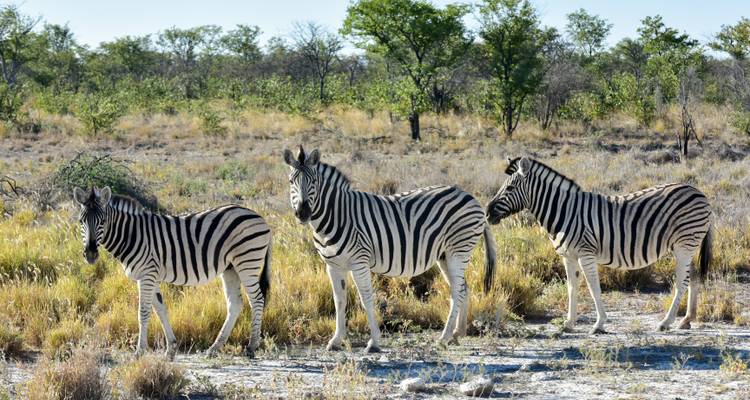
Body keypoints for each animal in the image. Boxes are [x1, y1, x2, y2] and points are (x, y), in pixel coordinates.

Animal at [73, 187, 271, 358]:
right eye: (81, 221)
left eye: (102, 221)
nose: (90, 254)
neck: (132, 235)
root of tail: (259, 217)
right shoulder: (149, 276)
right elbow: (160, 309)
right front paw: (171, 349)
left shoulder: (147, 275)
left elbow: (143, 311)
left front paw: (139, 352)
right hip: (231, 268)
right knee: (235, 304)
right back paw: (214, 348)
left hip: (247, 262)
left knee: (257, 300)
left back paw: (252, 347)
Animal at [284, 146, 496, 352]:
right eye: (291, 181)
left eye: (314, 181)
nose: (303, 213)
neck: (337, 216)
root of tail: (471, 197)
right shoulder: (333, 265)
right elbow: (339, 300)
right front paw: (336, 340)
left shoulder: (359, 262)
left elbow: (366, 299)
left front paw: (374, 342)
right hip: (445, 255)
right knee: (462, 288)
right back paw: (456, 334)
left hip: (458, 250)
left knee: (457, 291)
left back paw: (444, 338)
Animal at [486, 157, 712, 333]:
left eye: (510, 188)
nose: (487, 213)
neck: (565, 212)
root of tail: (699, 192)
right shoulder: (568, 256)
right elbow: (571, 287)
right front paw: (569, 323)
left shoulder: (586, 253)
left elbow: (593, 286)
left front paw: (599, 324)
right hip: (686, 246)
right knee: (693, 277)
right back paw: (686, 320)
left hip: (685, 244)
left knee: (682, 281)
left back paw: (666, 322)